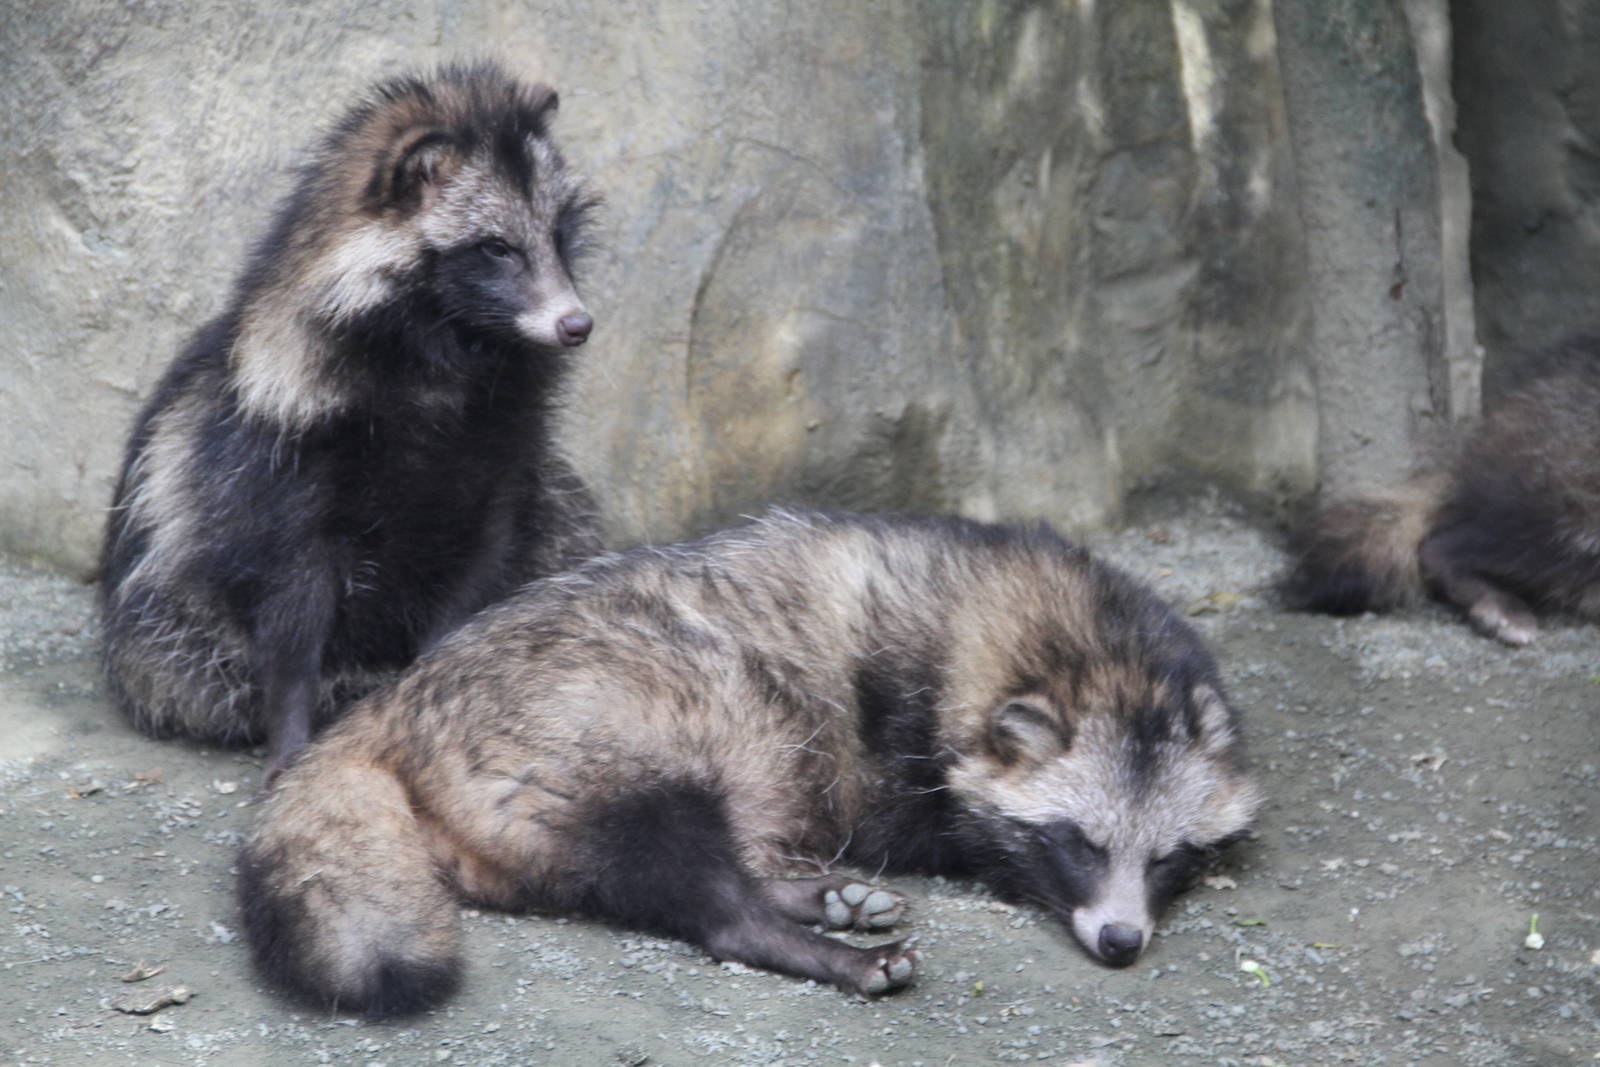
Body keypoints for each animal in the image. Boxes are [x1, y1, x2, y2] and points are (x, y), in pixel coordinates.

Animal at [99, 63, 602, 780]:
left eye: (558, 235)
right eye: (497, 248)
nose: (575, 324)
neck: (449, 352)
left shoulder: (502, 456)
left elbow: (483, 566)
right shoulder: (285, 462)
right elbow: (292, 609)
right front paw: (289, 734)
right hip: (163, 624)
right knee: (180, 660)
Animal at [238, 508, 1263, 1016]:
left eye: (1167, 857)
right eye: (1079, 843)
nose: (1121, 941)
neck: (1089, 650)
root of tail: (397, 701)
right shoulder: (901, 725)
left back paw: (808, 894)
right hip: (593, 739)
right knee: (689, 872)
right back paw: (801, 937)